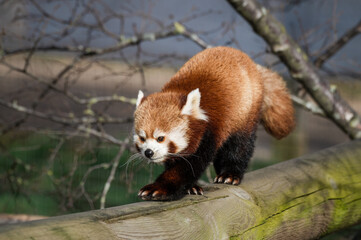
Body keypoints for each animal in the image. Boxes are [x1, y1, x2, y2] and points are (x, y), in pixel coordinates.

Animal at [132, 46, 292, 200]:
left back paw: (230, 174)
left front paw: (160, 188)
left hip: (246, 111)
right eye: (142, 138)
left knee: (239, 145)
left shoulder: (208, 132)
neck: (178, 92)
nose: (148, 152)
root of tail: (251, 63)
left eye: (160, 138)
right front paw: (192, 187)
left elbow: (188, 166)